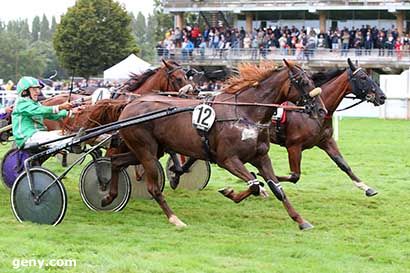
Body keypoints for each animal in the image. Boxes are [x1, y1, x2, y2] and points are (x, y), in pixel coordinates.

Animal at [110, 60, 322, 228]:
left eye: (313, 80)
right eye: (304, 82)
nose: (321, 110)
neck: (244, 112)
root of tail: (130, 104)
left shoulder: (260, 157)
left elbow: (277, 189)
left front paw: (301, 221)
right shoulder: (227, 159)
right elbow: (253, 185)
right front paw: (229, 192)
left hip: (149, 150)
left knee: (115, 162)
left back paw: (109, 196)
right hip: (146, 151)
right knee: (152, 187)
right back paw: (174, 218)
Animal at [270, 58, 386, 196]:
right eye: (363, 77)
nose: (382, 97)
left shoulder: (326, 141)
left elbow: (343, 164)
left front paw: (366, 187)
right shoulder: (293, 146)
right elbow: (294, 176)